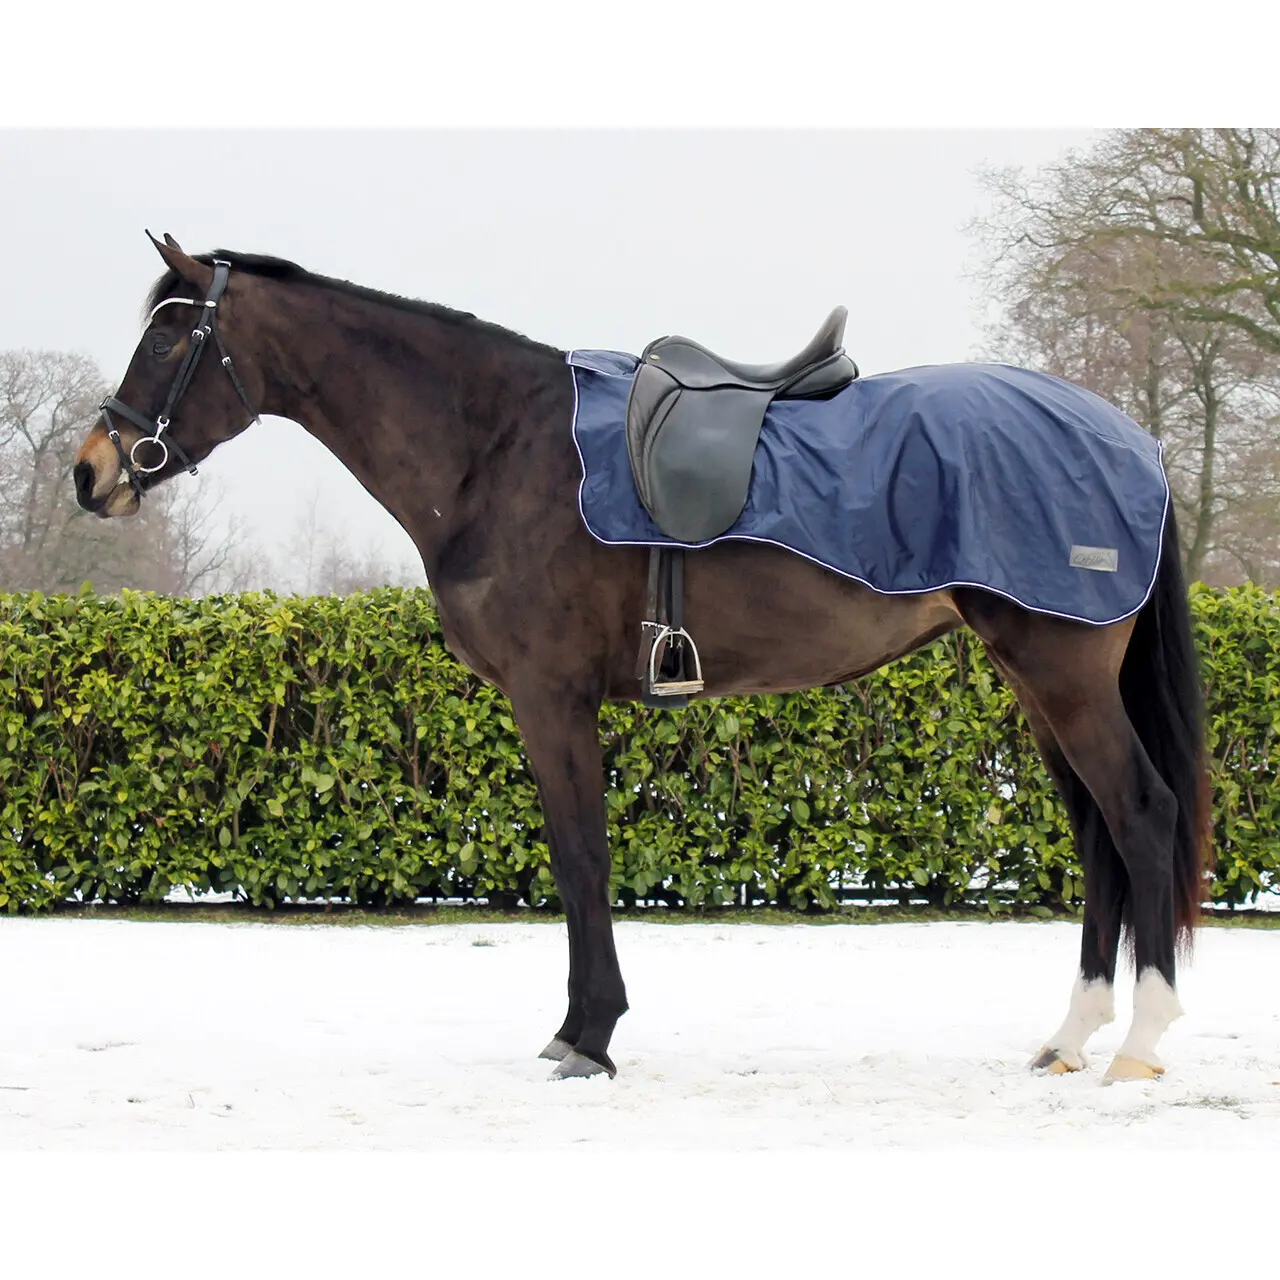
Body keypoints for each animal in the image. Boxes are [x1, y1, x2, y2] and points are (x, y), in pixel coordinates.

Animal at [73, 234, 1210, 1083]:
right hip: (1037, 684)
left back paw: (1142, 1041)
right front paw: (582, 1027)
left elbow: (581, 857)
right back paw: (1071, 1036)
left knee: (1140, 814)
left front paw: (588, 1035)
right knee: (1098, 834)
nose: (92, 472)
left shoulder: (550, 697)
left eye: (170, 335)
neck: (498, 450)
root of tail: (1130, 441)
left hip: (1061, 675)